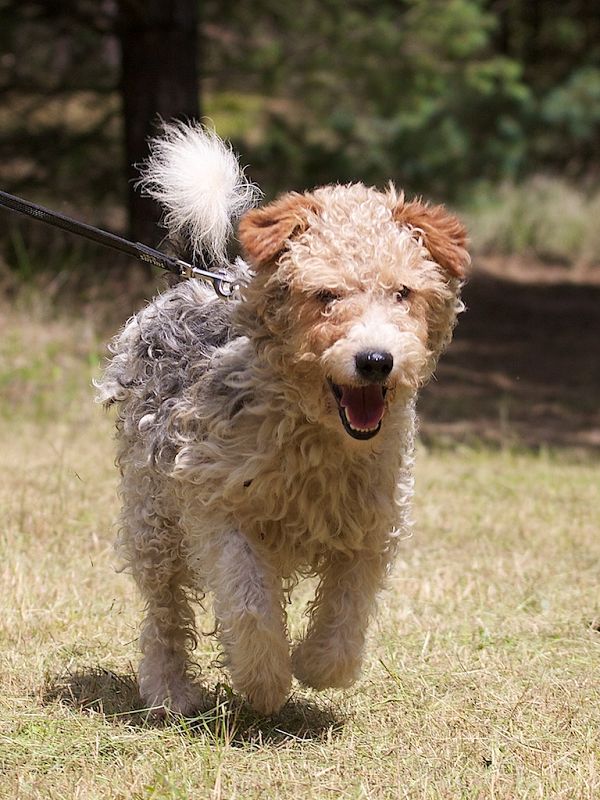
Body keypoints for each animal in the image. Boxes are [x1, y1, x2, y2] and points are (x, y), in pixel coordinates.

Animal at [97, 123, 469, 716]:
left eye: (403, 292)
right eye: (325, 294)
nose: (375, 360)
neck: (316, 435)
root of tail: (190, 279)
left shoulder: (371, 524)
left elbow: (346, 613)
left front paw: (317, 665)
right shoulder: (217, 506)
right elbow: (250, 604)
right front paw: (265, 680)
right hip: (153, 519)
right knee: (164, 613)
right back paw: (170, 689)